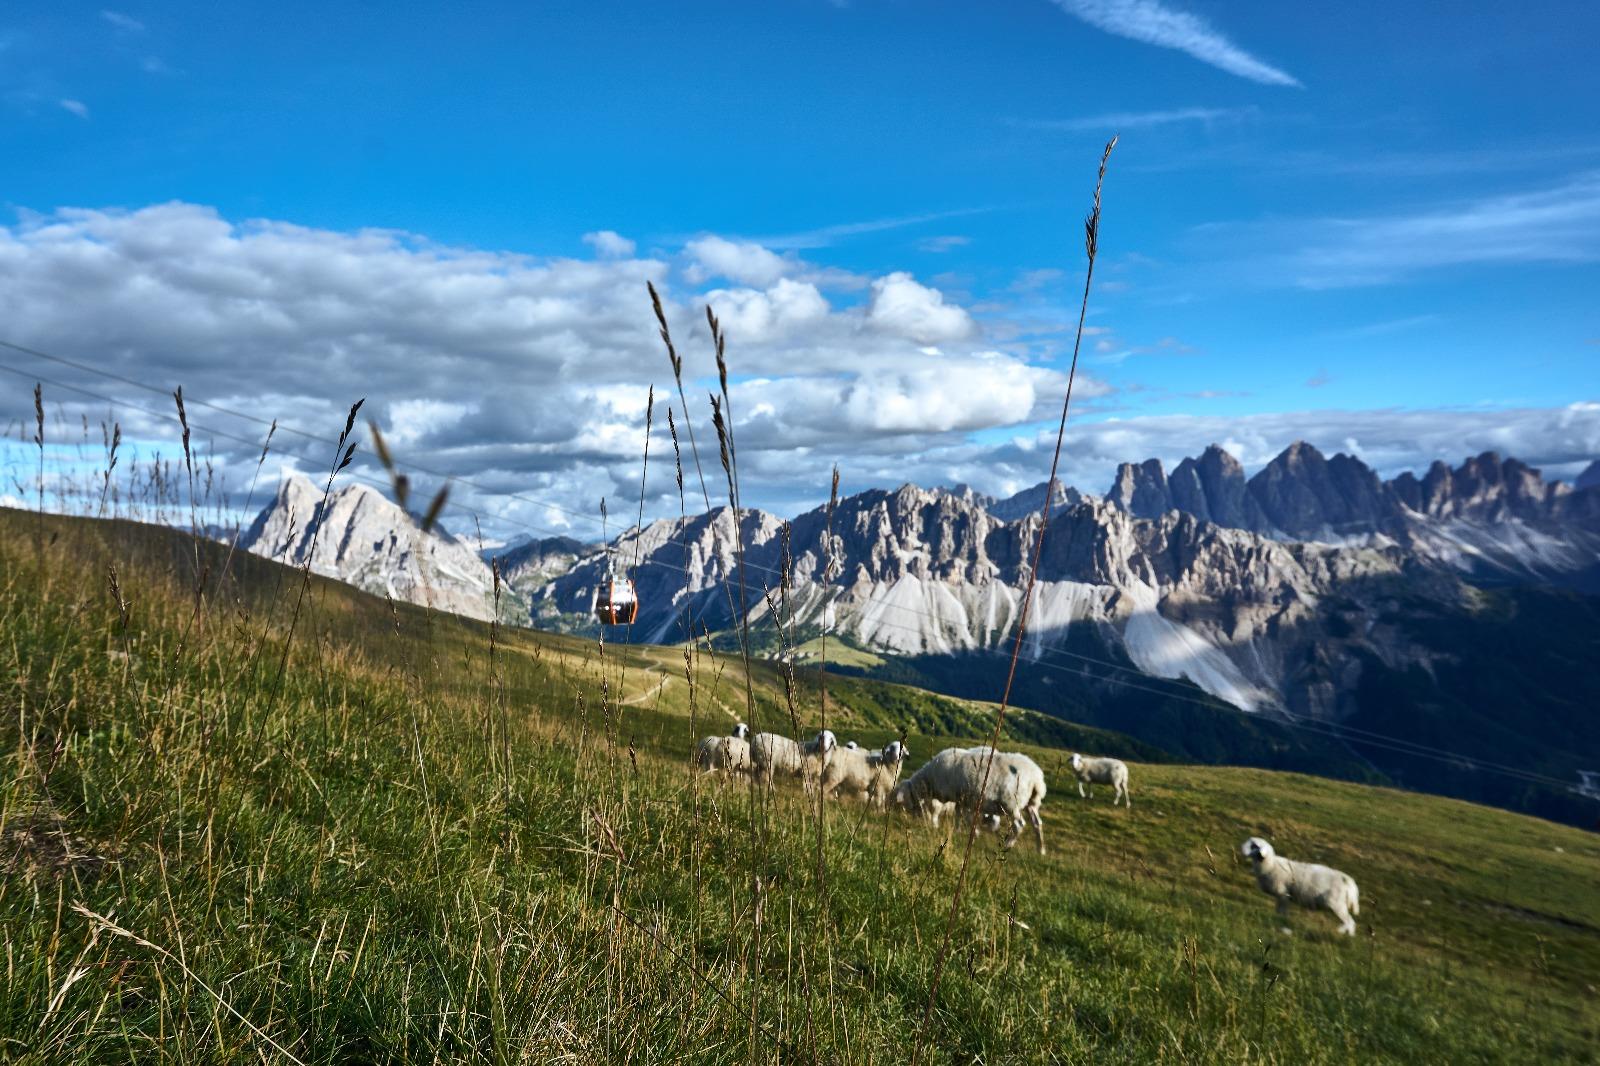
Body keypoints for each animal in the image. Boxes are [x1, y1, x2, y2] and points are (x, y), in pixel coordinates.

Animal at [889, 742, 1049, 851]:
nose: (912, 818)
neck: (929, 780)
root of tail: (1036, 778)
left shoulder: (959, 796)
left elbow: (963, 816)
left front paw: (971, 832)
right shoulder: (961, 799)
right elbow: (961, 815)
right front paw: (961, 830)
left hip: (1011, 803)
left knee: (1019, 825)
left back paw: (1008, 844)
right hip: (1032, 804)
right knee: (1037, 824)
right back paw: (1040, 850)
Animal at [1235, 832, 1363, 934]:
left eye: (1254, 846)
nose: (1241, 849)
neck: (1271, 865)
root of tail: (1347, 880)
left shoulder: (1283, 894)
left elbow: (1282, 911)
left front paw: (1281, 921)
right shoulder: (1280, 896)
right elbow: (1278, 911)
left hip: (1337, 903)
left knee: (1350, 922)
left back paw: (1344, 934)